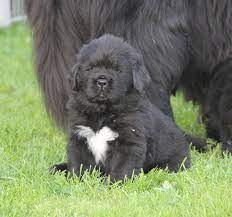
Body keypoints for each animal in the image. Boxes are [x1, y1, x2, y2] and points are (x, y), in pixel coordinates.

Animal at [53, 34, 191, 181]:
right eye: (90, 68)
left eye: (118, 69)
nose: (102, 81)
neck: (103, 112)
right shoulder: (79, 136)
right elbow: (78, 163)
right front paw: (76, 180)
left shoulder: (129, 141)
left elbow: (122, 167)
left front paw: (114, 183)